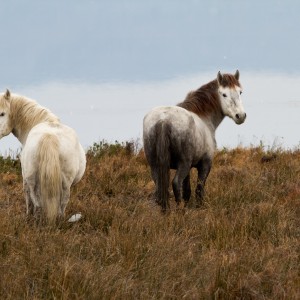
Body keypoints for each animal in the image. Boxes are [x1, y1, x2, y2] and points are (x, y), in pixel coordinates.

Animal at [0, 90, 86, 224]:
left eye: (2, 113)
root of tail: (49, 136)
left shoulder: (24, 178)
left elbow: (28, 201)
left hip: (32, 181)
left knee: (37, 203)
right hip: (65, 183)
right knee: (61, 205)